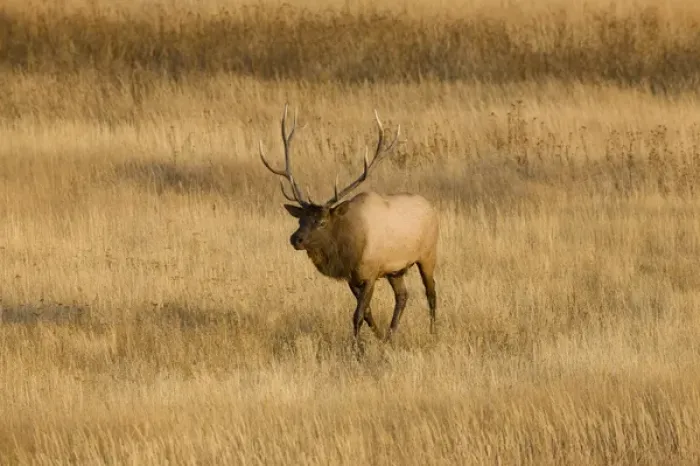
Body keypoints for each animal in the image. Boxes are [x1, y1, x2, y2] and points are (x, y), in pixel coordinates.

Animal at [259, 104, 439, 344]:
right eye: (300, 219)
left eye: (322, 221)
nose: (295, 239)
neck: (349, 249)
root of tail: (431, 208)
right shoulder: (351, 278)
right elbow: (367, 313)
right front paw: (378, 338)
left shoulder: (371, 272)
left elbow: (358, 314)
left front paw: (357, 348)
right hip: (396, 269)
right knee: (402, 296)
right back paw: (390, 335)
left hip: (428, 253)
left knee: (431, 292)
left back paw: (433, 331)